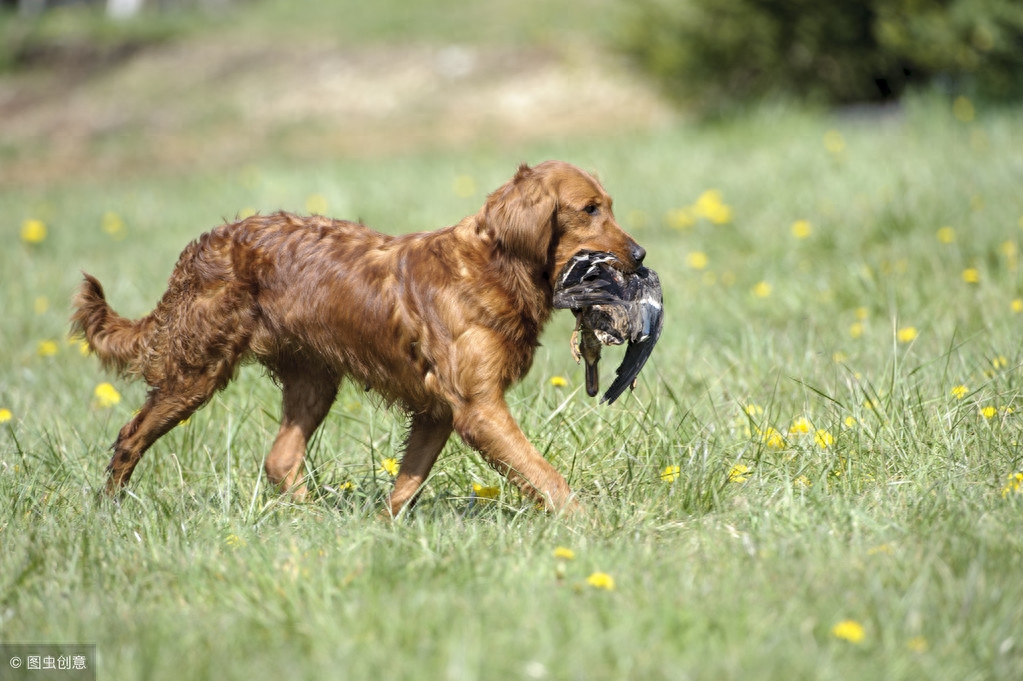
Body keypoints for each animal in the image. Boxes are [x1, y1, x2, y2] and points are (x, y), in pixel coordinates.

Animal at [72, 160, 646, 515]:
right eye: (590, 209)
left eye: (609, 205)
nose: (640, 256)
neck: (491, 266)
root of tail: (200, 246)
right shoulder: (478, 407)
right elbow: (544, 475)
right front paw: (593, 529)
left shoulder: (438, 411)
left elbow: (406, 487)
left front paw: (382, 534)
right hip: (197, 370)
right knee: (131, 435)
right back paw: (108, 510)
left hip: (313, 378)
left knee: (280, 459)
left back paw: (315, 523)